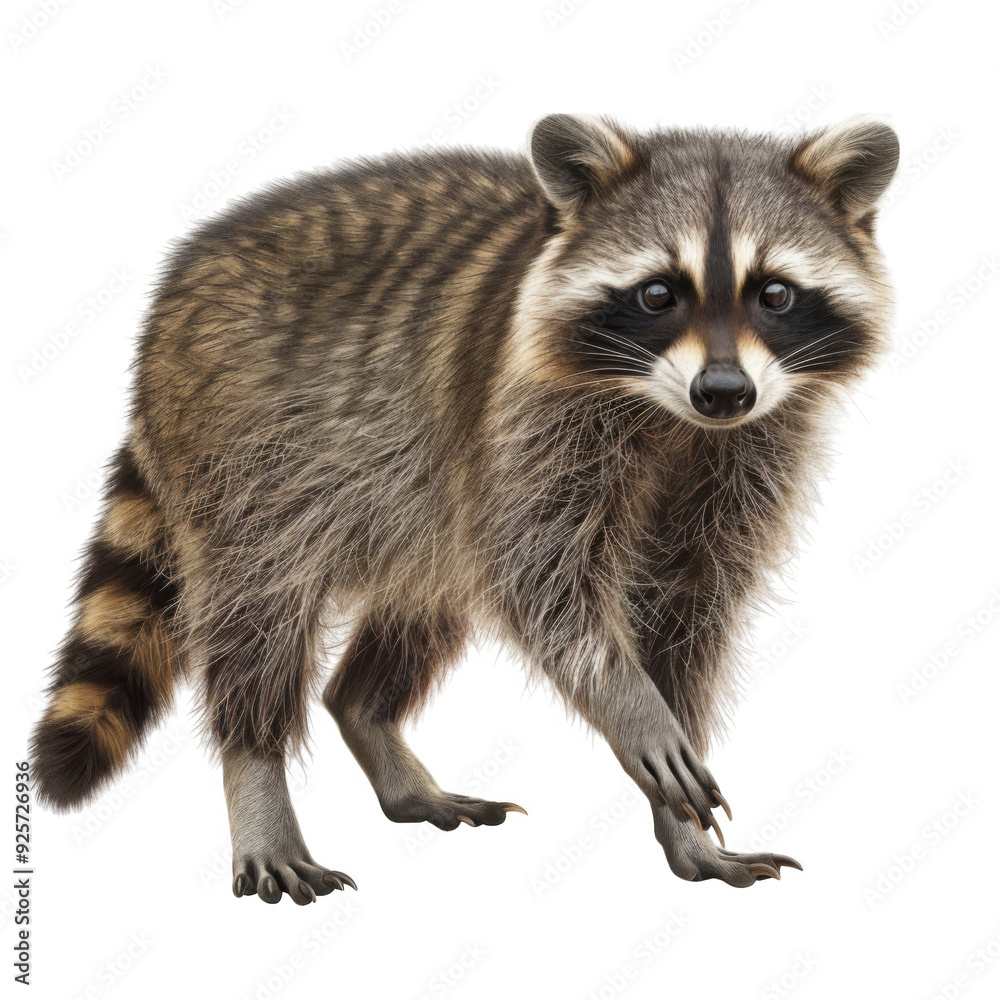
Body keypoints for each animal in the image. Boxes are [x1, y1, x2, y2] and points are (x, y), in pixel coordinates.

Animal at [30, 114, 898, 902]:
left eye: (775, 293)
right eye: (658, 293)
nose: (723, 391)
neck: (671, 417)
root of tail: (174, 292)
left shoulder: (751, 450)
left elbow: (688, 606)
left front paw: (682, 814)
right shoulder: (523, 415)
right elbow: (547, 587)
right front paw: (634, 712)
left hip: (414, 498)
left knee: (426, 599)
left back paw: (365, 712)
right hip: (246, 451)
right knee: (259, 609)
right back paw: (256, 771)